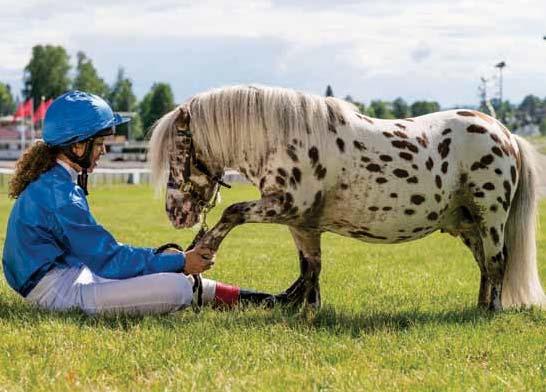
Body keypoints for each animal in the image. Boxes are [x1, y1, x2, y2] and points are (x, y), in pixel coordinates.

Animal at [149, 84, 544, 310]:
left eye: (178, 148)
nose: (175, 213)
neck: (287, 139)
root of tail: (506, 134)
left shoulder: (282, 207)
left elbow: (232, 213)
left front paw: (203, 251)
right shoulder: (301, 224)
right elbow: (309, 270)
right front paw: (305, 313)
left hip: (489, 217)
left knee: (497, 263)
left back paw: (491, 312)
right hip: (465, 223)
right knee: (484, 265)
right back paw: (478, 307)